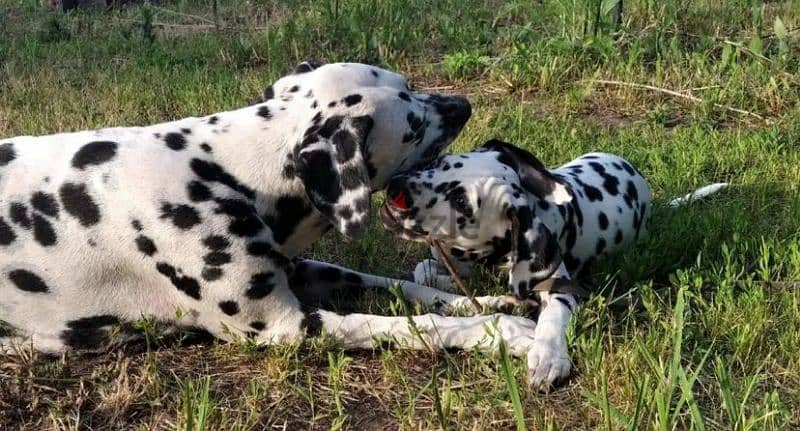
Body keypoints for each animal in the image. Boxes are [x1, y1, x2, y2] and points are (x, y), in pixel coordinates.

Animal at [1, 63, 544, 362]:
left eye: (408, 84)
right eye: (412, 123)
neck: (220, 168)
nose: (463, 105)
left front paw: (487, 302)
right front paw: (501, 331)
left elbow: (406, 289)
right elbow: (415, 326)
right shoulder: (289, 326)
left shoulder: (301, 268)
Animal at [378, 140, 728, 390]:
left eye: (462, 202)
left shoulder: (558, 285)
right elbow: (423, 271)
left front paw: (548, 355)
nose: (395, 186)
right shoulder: (447, 261)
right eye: (441, 163)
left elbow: (554, 315)